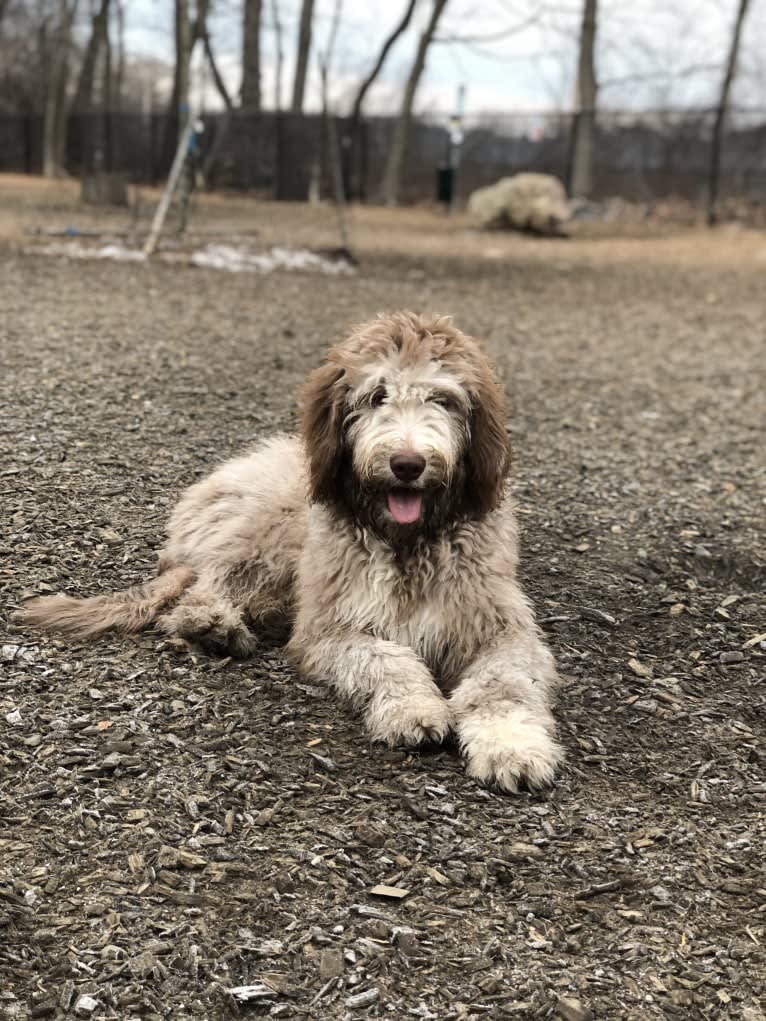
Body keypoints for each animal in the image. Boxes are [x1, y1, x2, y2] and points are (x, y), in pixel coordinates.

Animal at [18, 314, 563, 792]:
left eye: (442, 399)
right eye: (377, 395)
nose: (406, 463)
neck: (407, 543)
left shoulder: (499, 627)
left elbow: (504, 683)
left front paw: (512, 746)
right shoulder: (329, 628)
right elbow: (386, 657)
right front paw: (414, 708)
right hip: (267, 530)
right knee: (202, 590)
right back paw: (214, 626)